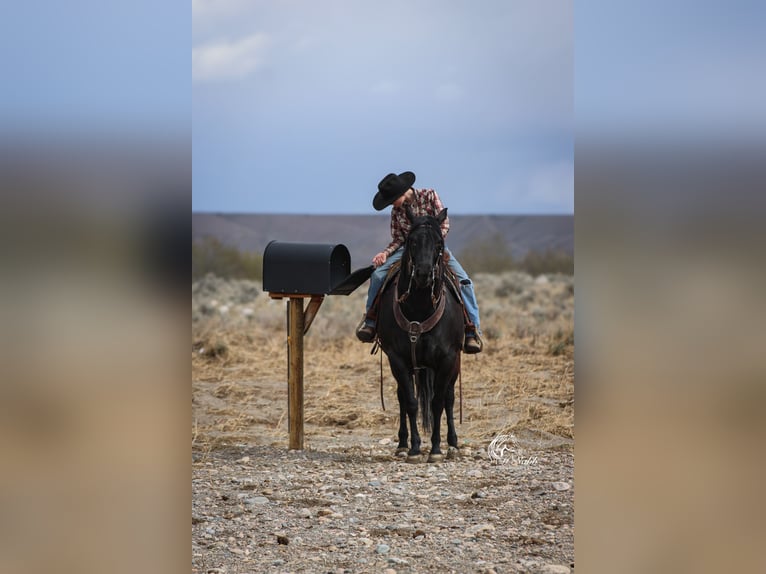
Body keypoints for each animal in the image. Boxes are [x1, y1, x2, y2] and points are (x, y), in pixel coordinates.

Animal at [376, 207, 465, 462]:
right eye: (411, 241)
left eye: (439, 243)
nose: (424, 273)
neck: (420, 308)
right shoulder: (397, 359)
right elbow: (411, 402)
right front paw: (414, 448)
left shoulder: (447, 358)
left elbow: (437, 403)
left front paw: (435, 449)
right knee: (402, 398)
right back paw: (402, 444)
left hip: (453, 364)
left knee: (449, 398)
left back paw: (452, 444)